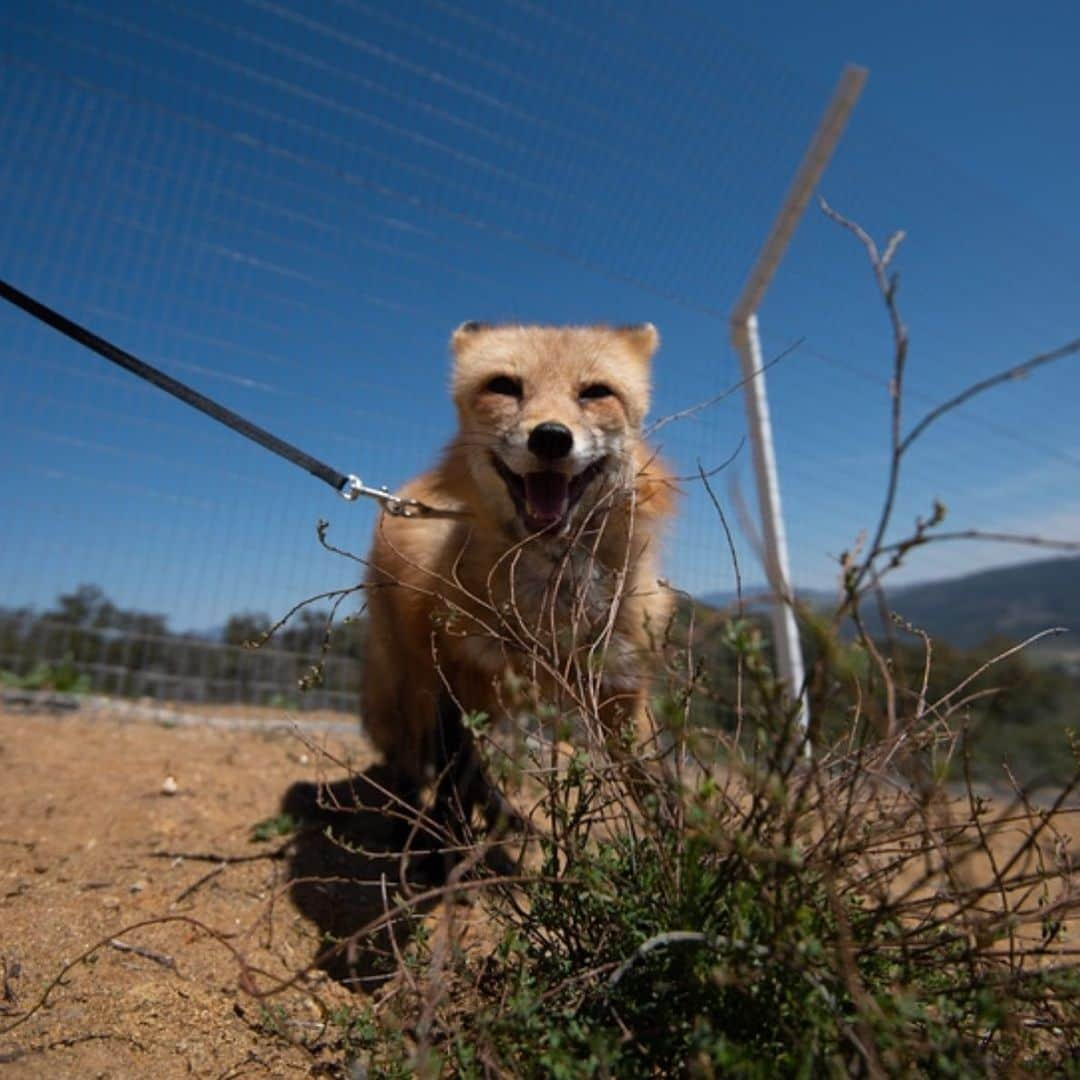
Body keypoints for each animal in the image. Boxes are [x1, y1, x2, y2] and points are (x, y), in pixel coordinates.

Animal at [367, 319, 678, 833]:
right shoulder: (459, 678)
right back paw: (406, 818)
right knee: (415, 760)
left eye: (595, 393)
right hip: (421, 681)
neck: (550, 608)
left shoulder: (621, 685)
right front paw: (447, 851)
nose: (550, 437)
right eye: (505, 387)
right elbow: (452, 786)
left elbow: (664, 795)